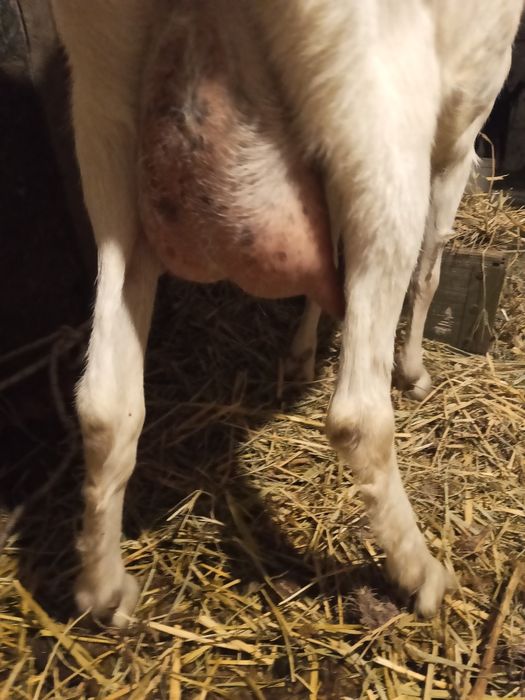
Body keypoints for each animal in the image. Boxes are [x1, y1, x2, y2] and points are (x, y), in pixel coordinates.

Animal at [51, 0, 523, 627]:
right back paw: (421, 574)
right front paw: (414, 370)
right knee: (357, 415)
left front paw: (301, 351)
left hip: (106, 125)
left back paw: (105, 592)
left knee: (107, 403)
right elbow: (430, 267)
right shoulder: (464, 116)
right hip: (384, 133)